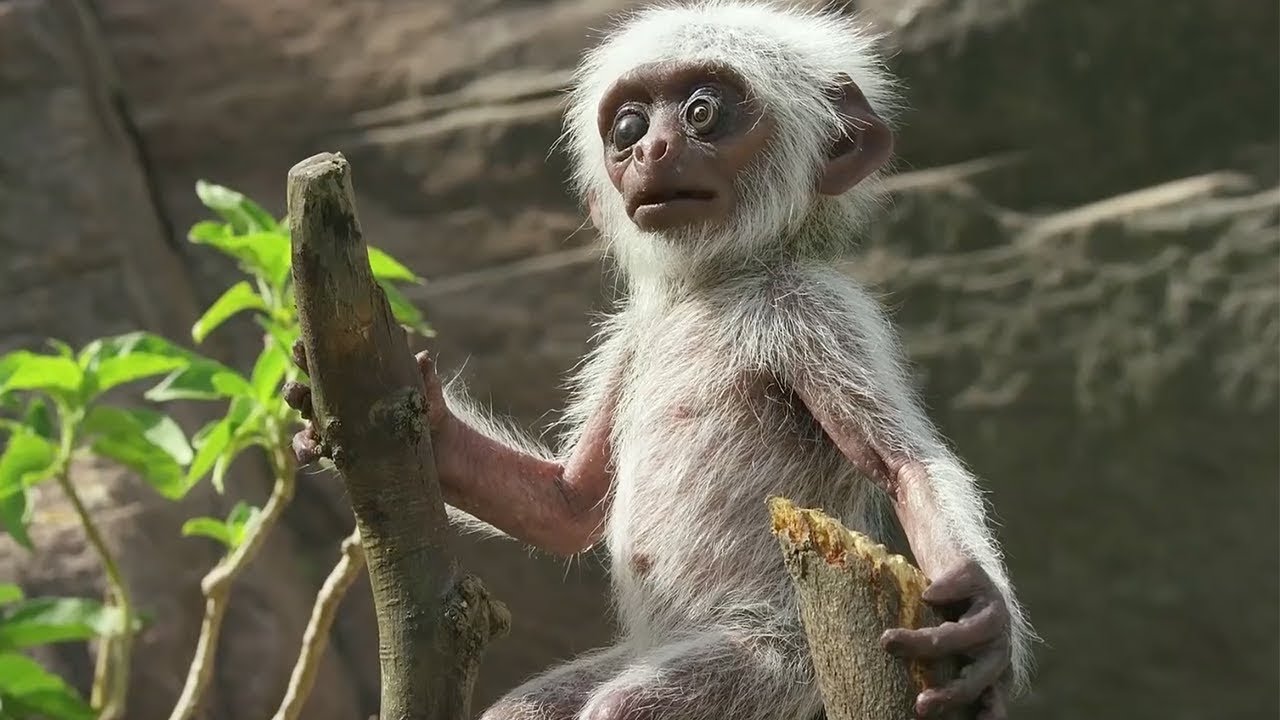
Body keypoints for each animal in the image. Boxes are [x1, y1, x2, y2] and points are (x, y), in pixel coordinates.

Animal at [284, 2, 1034, 719]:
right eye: (628, 126)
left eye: (704, 112)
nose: (652, 146)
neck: (710, 288)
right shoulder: (630, 340)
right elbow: (569, 502)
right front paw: (405, 415)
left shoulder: (816, 312)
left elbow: (904, 464)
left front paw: (982, 614)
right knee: (529, 707)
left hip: (779, 666)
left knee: (636, 701)